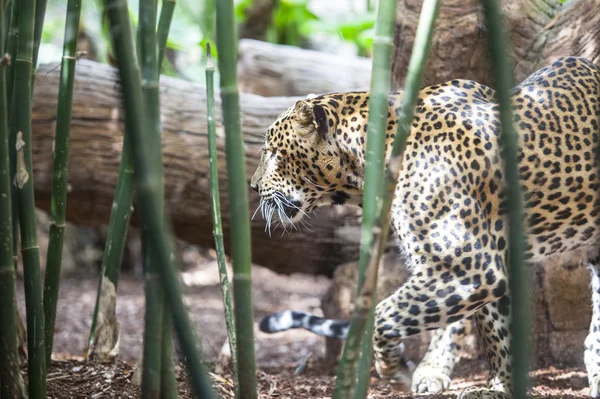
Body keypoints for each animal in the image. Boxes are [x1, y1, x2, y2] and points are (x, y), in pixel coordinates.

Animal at [251, 57, 600, 399]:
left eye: (271, 152)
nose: (253, 186)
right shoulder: (485, 266)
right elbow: (497, 332)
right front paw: (501, 389)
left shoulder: (470, 269)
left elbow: (384, 315)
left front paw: (395, 368)